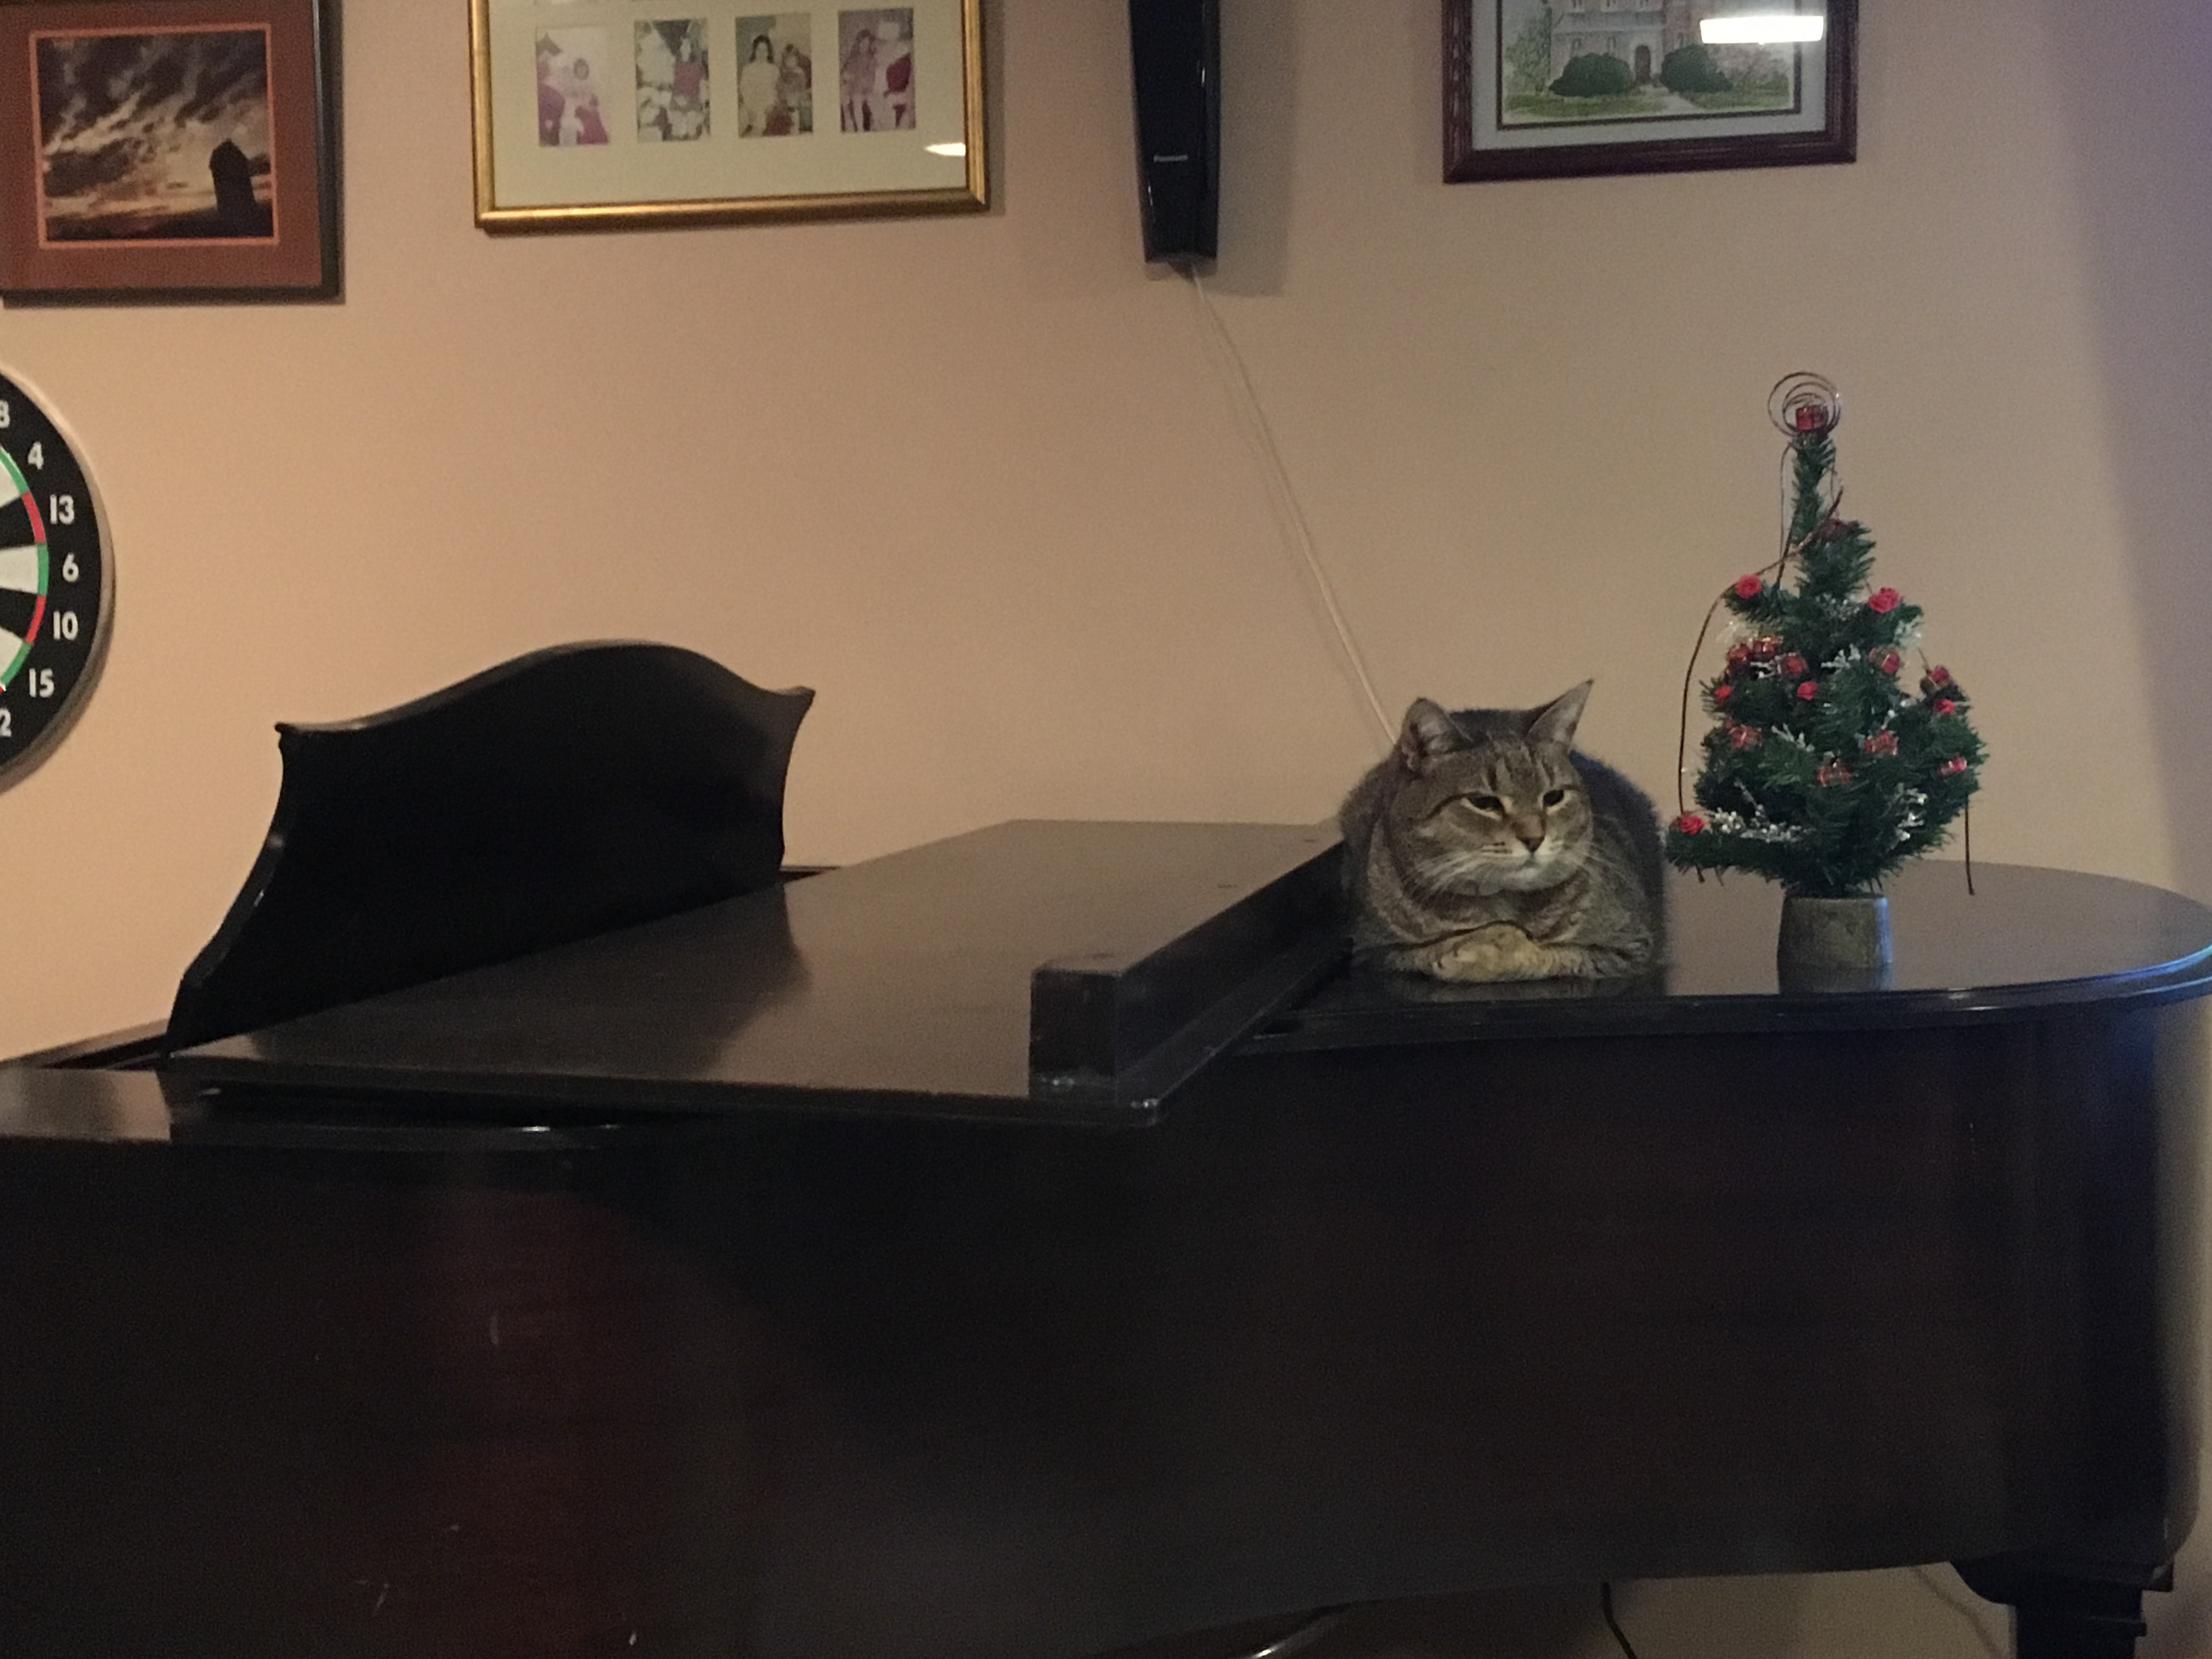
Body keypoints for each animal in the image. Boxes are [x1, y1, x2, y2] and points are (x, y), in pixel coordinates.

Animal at [1338, 683, 1664, 982]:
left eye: (1553, 797)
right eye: (1485, 803)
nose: (1534, 839)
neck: (1500, 903)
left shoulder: (1630, 946)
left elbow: (1547, 954)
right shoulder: (1373, 951)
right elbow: (1435, 952)